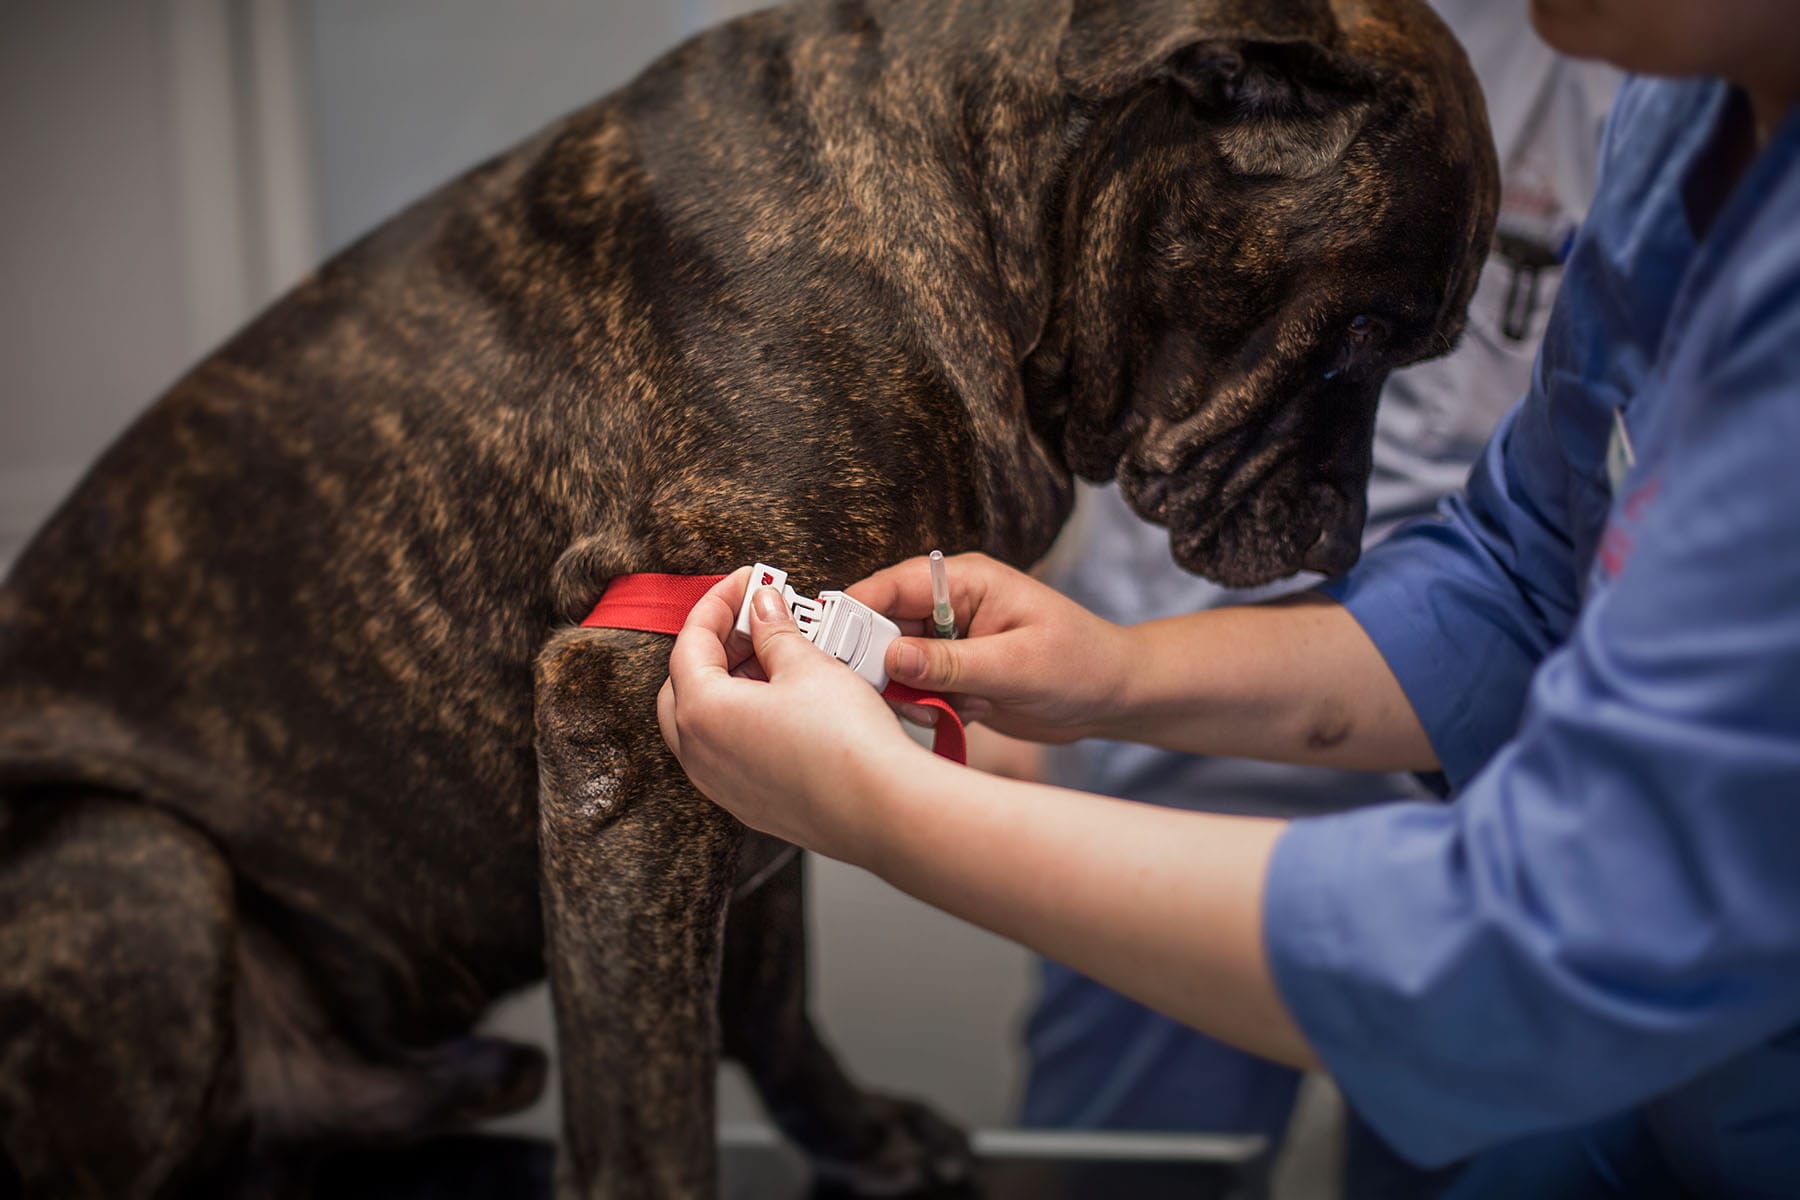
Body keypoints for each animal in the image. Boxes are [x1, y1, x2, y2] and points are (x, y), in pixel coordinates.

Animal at [0, 2, 1490, 1200]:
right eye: (1366, 334)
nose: (1349, 541)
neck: (973, 204)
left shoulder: (747, 741)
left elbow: (771, 997)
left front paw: (855, 1136)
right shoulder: (625, 727)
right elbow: (650, 1098)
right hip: (136, 864)